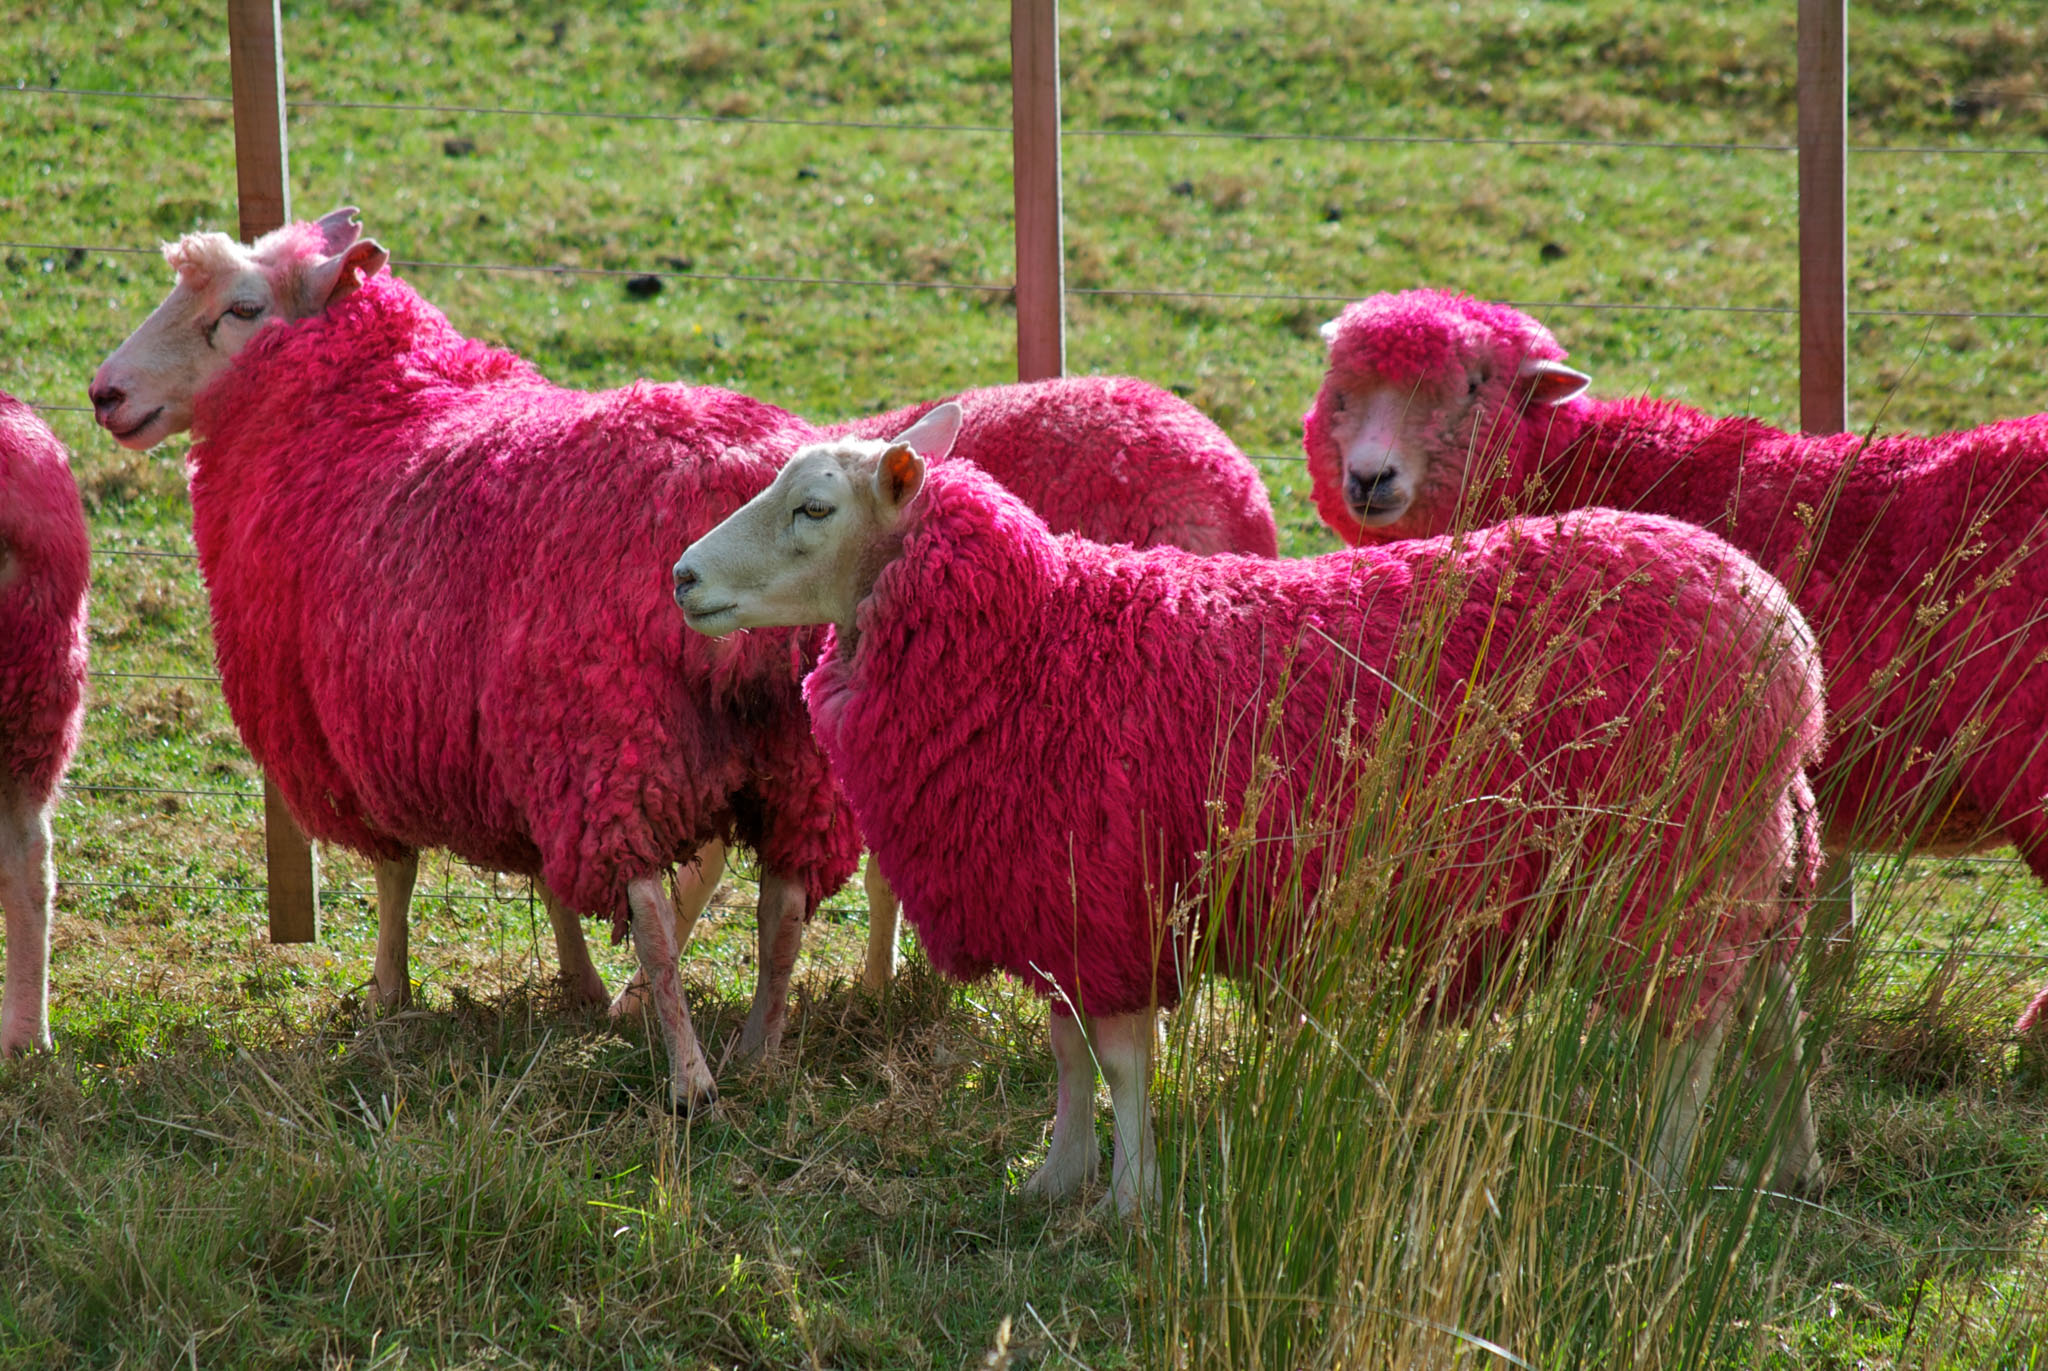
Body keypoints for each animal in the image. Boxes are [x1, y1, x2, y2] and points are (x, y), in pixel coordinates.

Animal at [83, 214, 856, 1114]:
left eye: (242, 307)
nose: (105, 393)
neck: (378, 404)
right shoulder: (504, 741)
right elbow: (551, 880)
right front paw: (579, 988)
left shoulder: (360, 732)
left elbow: (396, 871)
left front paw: (388, 994)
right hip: (796, 761)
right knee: (784, 911)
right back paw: (757, 1053)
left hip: (611, 735)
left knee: (657, 921)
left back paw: (690, 1079)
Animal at [671, 411, 1826, 1213]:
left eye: (815, 509)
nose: (682, 576)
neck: (1036, 641)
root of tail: (1787, 634)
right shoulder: (1053, 898)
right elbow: (1063, 1053)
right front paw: (1054, 1179)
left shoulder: (1111, 894)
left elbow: (1120, 1062)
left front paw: (1129, 1199)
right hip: (1744, 856)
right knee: (1774, 1002)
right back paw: (1791, 1154)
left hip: (1674, 865)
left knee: (1694, 1036)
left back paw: (1658, 1177)